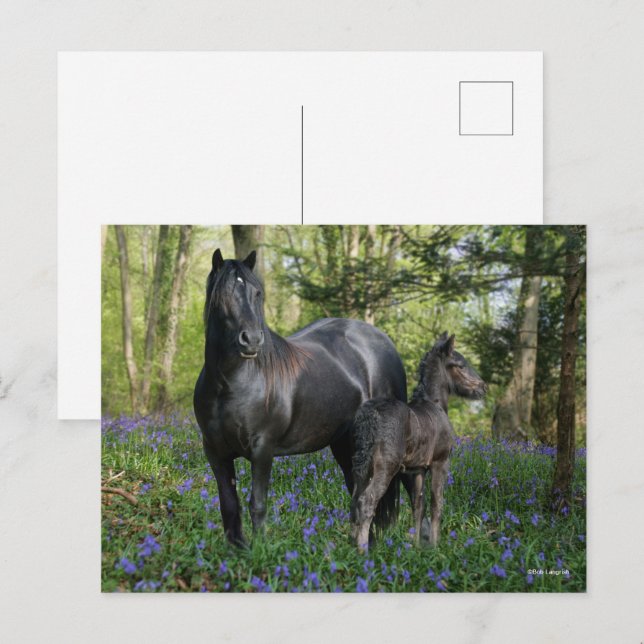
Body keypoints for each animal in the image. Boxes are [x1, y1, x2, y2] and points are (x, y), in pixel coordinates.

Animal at [193, 248, 408, 546]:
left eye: (257, 293)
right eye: (224, 293)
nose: (252, 340)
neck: (231, 385)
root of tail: (383, 341)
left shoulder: (262, 449)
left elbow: (257, 504)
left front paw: (259, 551)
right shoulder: (215, 452)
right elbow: (229, 506)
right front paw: (238, 551)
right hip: (344, 443)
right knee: (358, 492)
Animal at [350, 332, 486, 551]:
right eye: (461, 365)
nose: (483, 387)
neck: (435, 404)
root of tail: (370, 416)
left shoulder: (417, 469)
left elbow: (418, 505)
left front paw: (416, 547)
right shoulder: (441, 462)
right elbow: (436, 503)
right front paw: (435, 545)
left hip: (360, 466)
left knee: (354, 501)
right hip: (385, 467)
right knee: (367, 501)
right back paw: (362, 550)